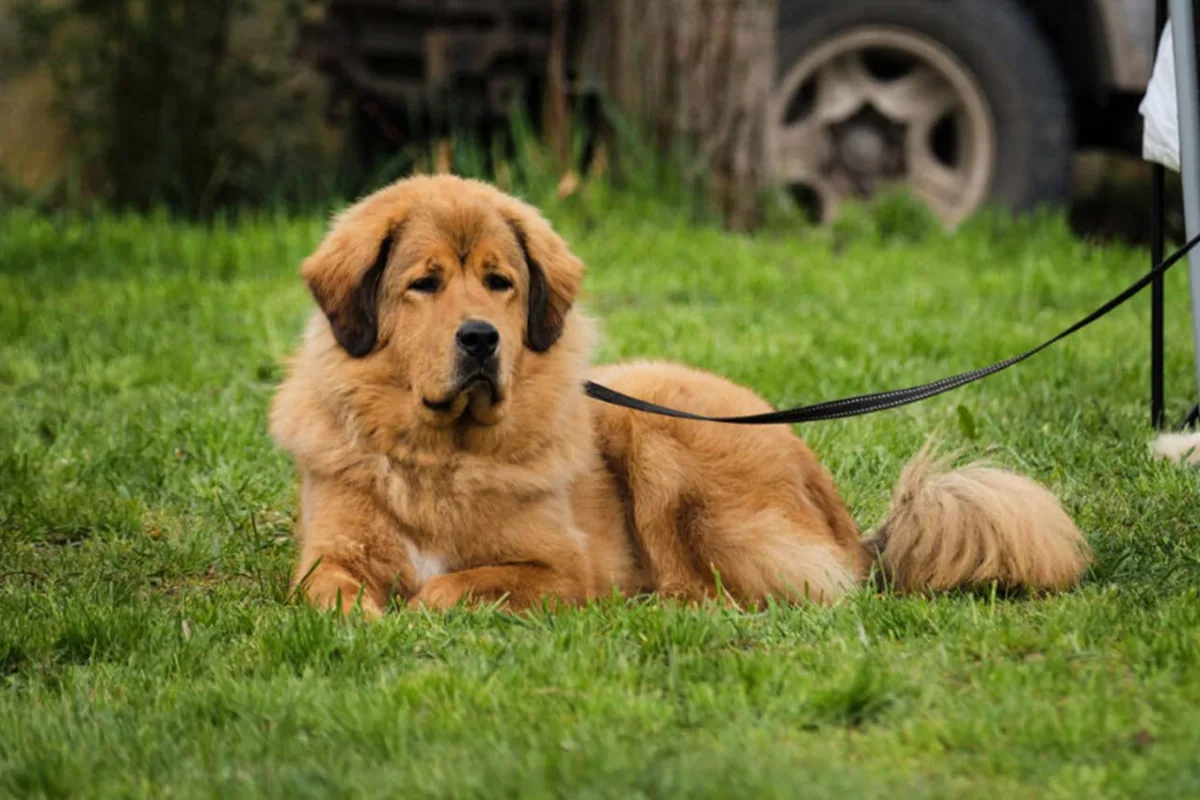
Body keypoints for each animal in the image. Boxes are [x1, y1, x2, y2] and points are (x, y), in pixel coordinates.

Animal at [267, 172, 1094, 618]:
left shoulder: (560, 570)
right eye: (425, 284)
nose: (480, 339)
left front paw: (417, 606)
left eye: (499, 282)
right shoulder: (330, 551)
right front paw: (365, 616)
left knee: (721, 589)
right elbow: (329, 588)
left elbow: (458, 585)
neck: (441, 455)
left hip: (660, 434)